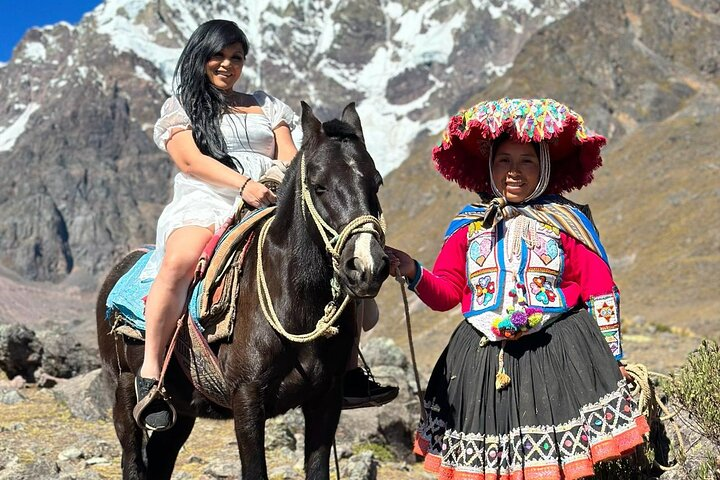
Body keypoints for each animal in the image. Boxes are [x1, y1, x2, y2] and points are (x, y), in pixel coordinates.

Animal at [96, 102, 390, 480]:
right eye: (319, 185)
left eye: (377, 182)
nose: (367, 266)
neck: (293, 304)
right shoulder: (247, 399)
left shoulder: (326, 400)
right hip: (121, 390)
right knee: (132, 456)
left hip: (182, 412)